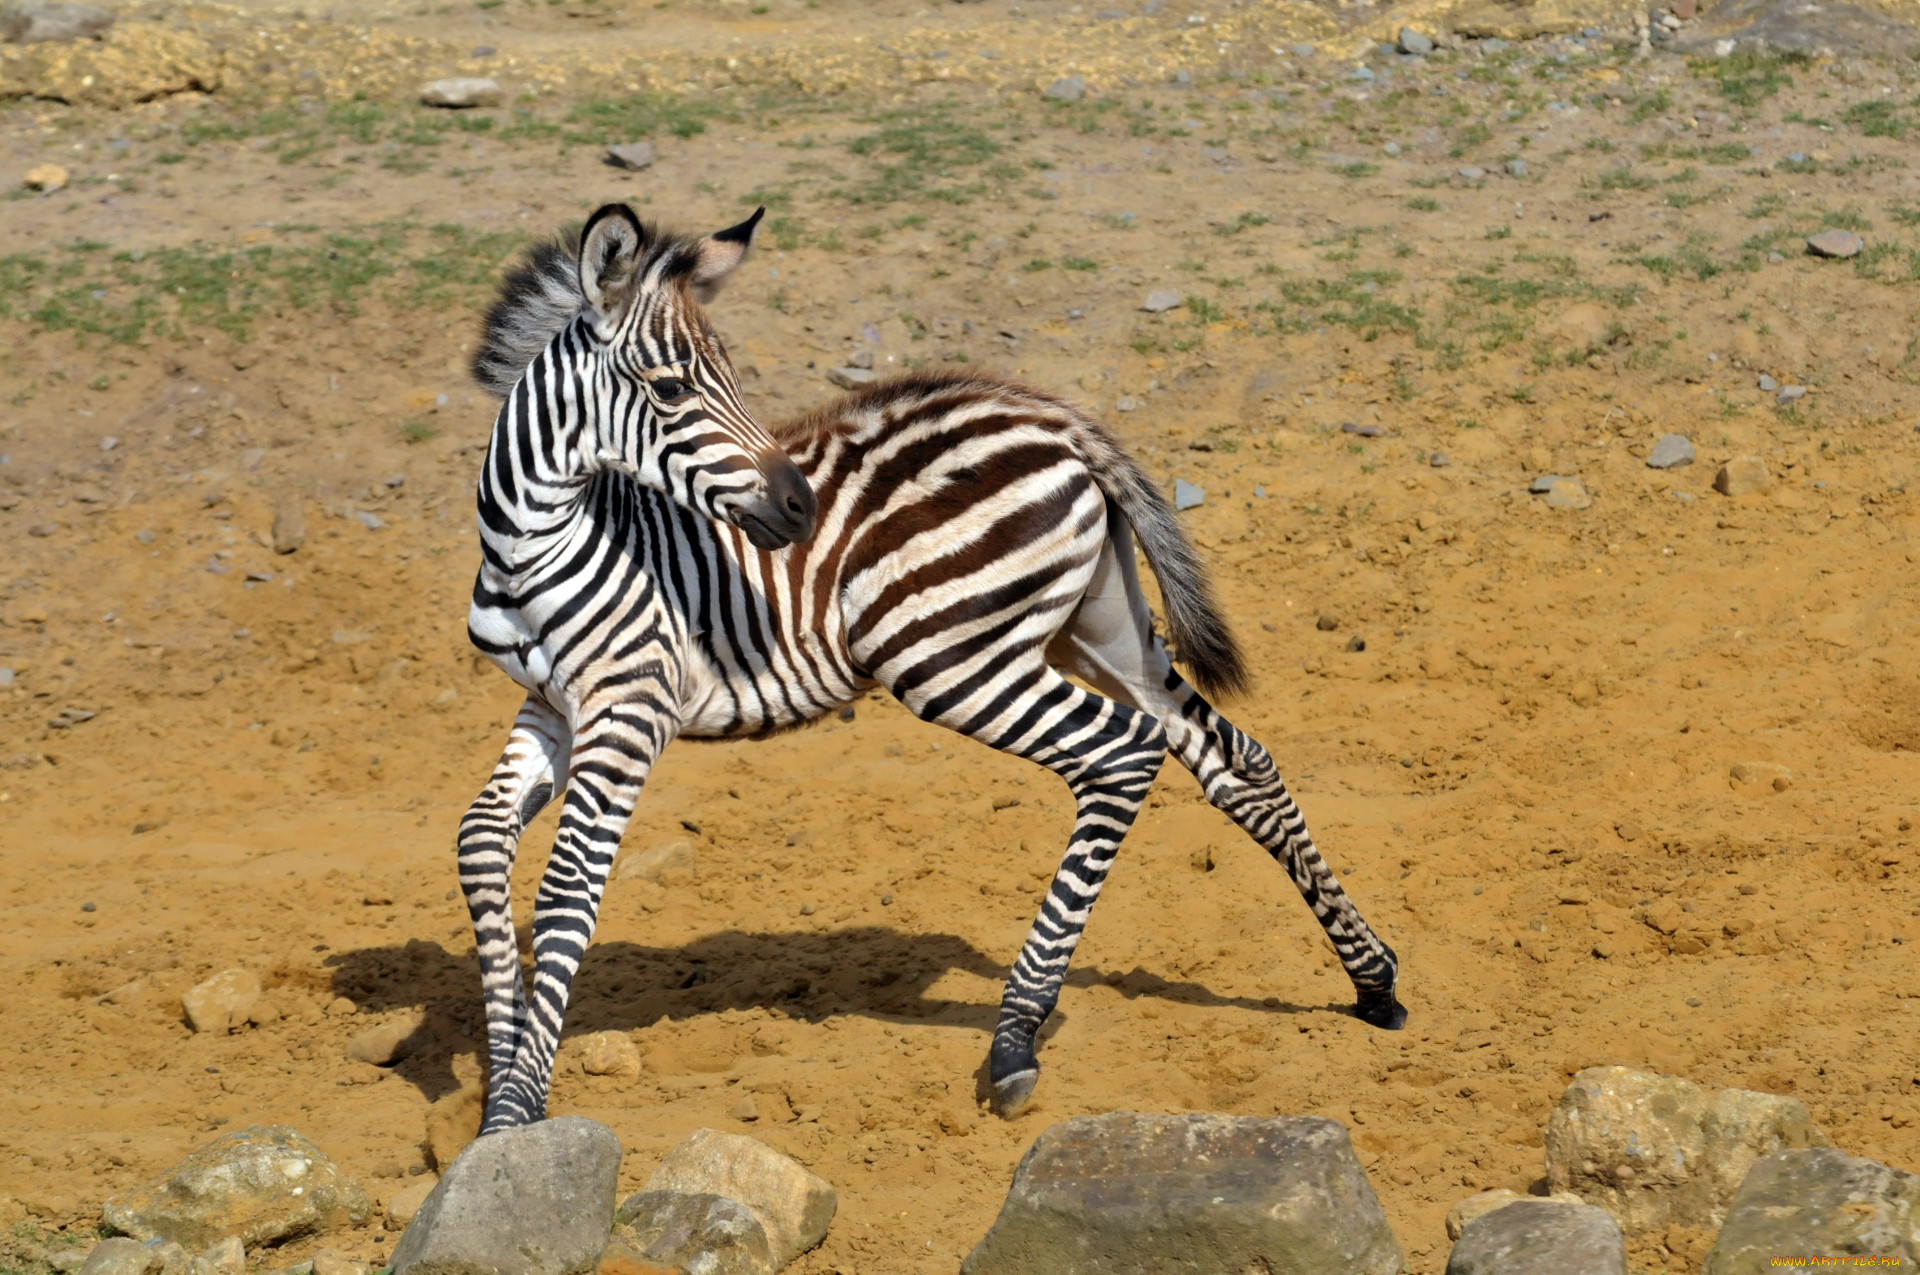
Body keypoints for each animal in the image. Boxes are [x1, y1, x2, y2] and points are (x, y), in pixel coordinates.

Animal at [456, 201, 1405, 1136]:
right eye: (671, 389)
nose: (798, 507)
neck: (537, 546)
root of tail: (1057, 419)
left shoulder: (630, 706)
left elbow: (568, 888)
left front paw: (516, 1111)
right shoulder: (551, 706)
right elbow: (479, 841)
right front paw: (499, 1075)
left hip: (947, 655)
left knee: (1124, 751)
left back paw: (1017, 1035)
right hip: (1097, 628)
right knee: (1232, 758)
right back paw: (1373, 979)